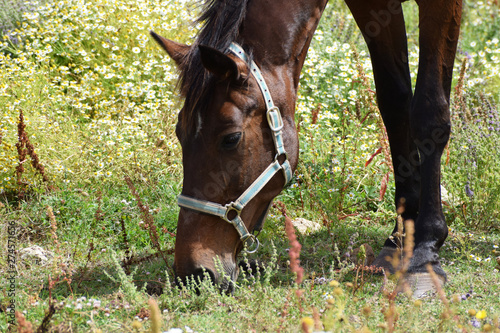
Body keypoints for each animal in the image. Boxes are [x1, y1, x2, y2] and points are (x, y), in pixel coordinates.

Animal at [150, 0, 462, 296]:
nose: (193, 274)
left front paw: (424, 250)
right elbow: (395, 106)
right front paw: (401, 237)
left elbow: (428, 112)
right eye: (179, 133)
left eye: (231, 138)